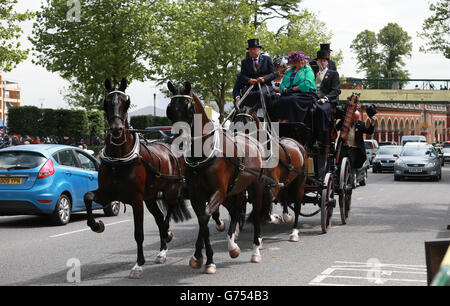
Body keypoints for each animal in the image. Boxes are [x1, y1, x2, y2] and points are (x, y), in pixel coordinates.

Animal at [84, 79, 190, 280]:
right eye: (105, 102)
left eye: (126, 102)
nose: (117, 129)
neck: (119, 159)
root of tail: (171, 147)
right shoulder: (108, 194)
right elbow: (88, 197)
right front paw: (96, 225)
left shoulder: (136, 200)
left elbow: (139, 233)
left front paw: (138, 264)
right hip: (150, 198)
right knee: (159, 219)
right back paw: (162, 249)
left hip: (171, 191)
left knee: (167, 216)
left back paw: (166, 237)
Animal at [166, 80, 268, 272]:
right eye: (170, 109)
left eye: (189, 108)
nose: (178, 141)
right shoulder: (197, 195)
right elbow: (202, 220)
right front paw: (201, 257)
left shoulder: (218, 192)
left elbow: (205, 217)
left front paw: (205, 259)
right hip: (233, 190)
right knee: (236, 210)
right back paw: (232, 245)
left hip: (255, 187)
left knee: (257, 212)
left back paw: (255, 250)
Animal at [234, 106, 308, 243]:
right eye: (234, 122)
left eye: (247, 123)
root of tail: (298, 144)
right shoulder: (254, 187)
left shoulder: (272, 184)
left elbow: (266, 205)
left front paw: (272, 218)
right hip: (286, 181)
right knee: (284, 196)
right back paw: (286, 215)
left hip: (300, 181)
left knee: (297, 205)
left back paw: (294, 232)